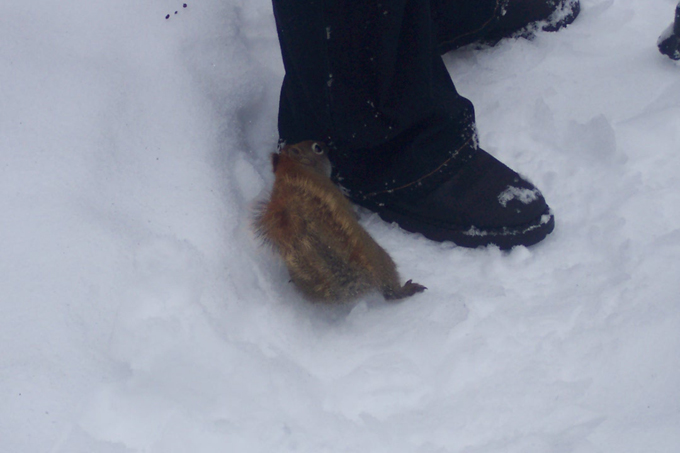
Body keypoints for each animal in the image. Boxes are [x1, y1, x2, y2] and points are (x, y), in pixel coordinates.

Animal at [254, 140, 426, 302]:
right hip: (380, 259)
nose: (326, 145)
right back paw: (406, 290)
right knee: (389, 291)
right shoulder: (335, 192)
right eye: (317, 148)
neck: (292, 169)